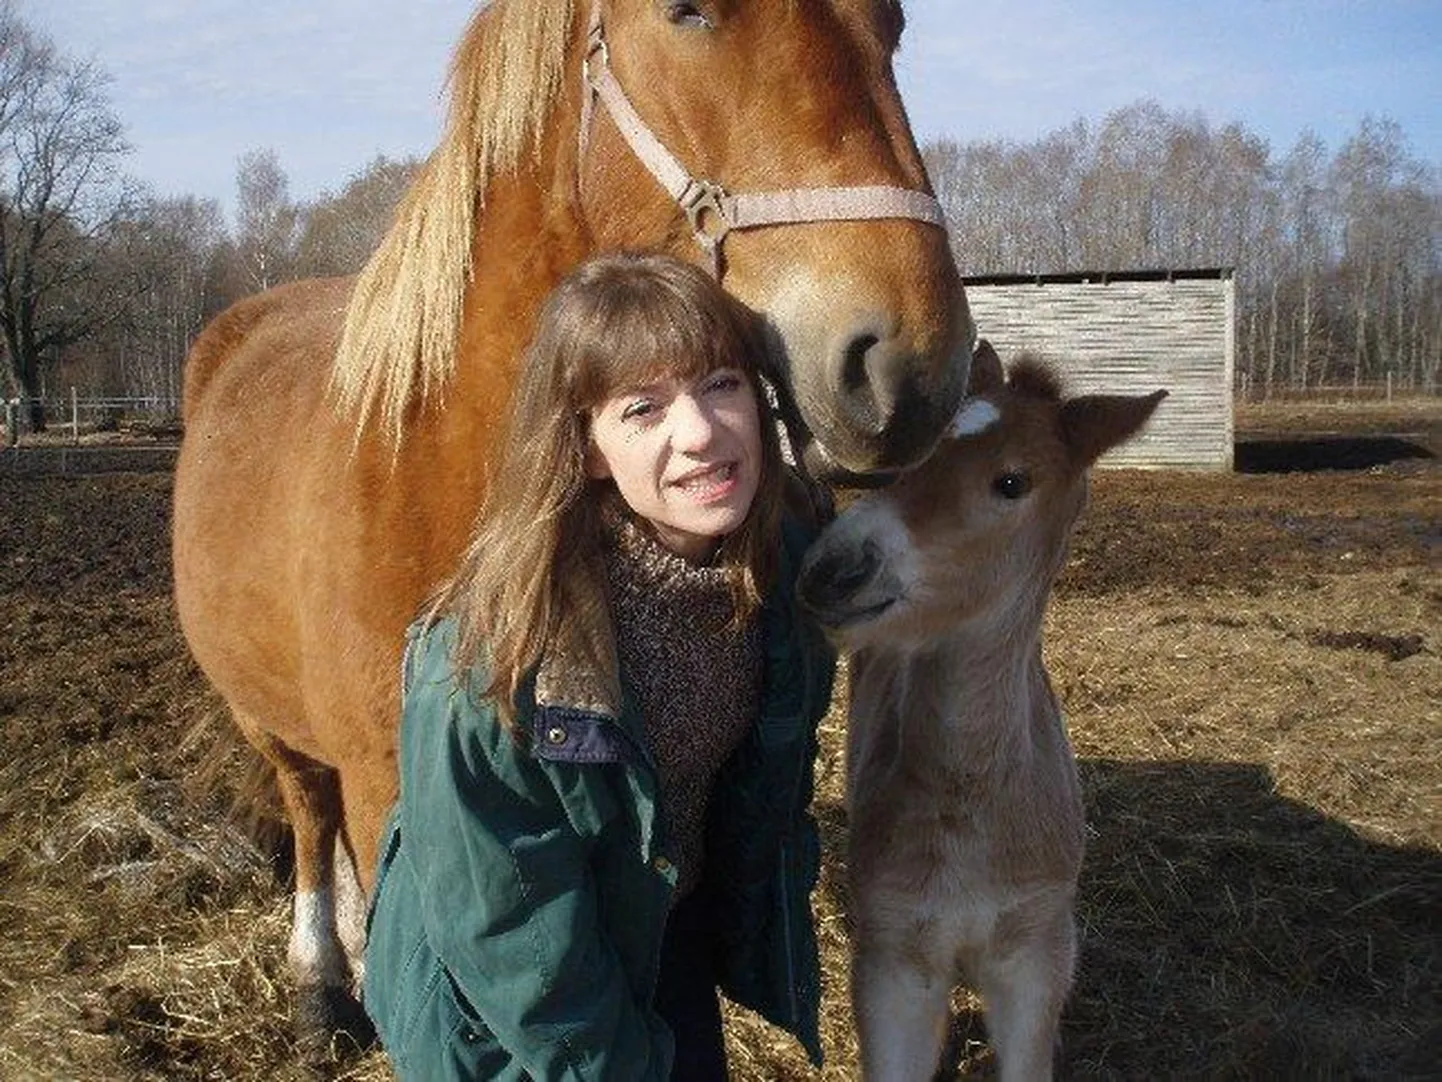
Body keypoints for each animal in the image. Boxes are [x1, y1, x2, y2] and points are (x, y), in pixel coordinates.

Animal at [174, 0, 974, 1050]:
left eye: (895, 23)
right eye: (686, 12)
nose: (910, 370)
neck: (445, 462)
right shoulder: (388, 781)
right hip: (262, 715)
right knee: (307, 812)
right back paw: (319, 977)